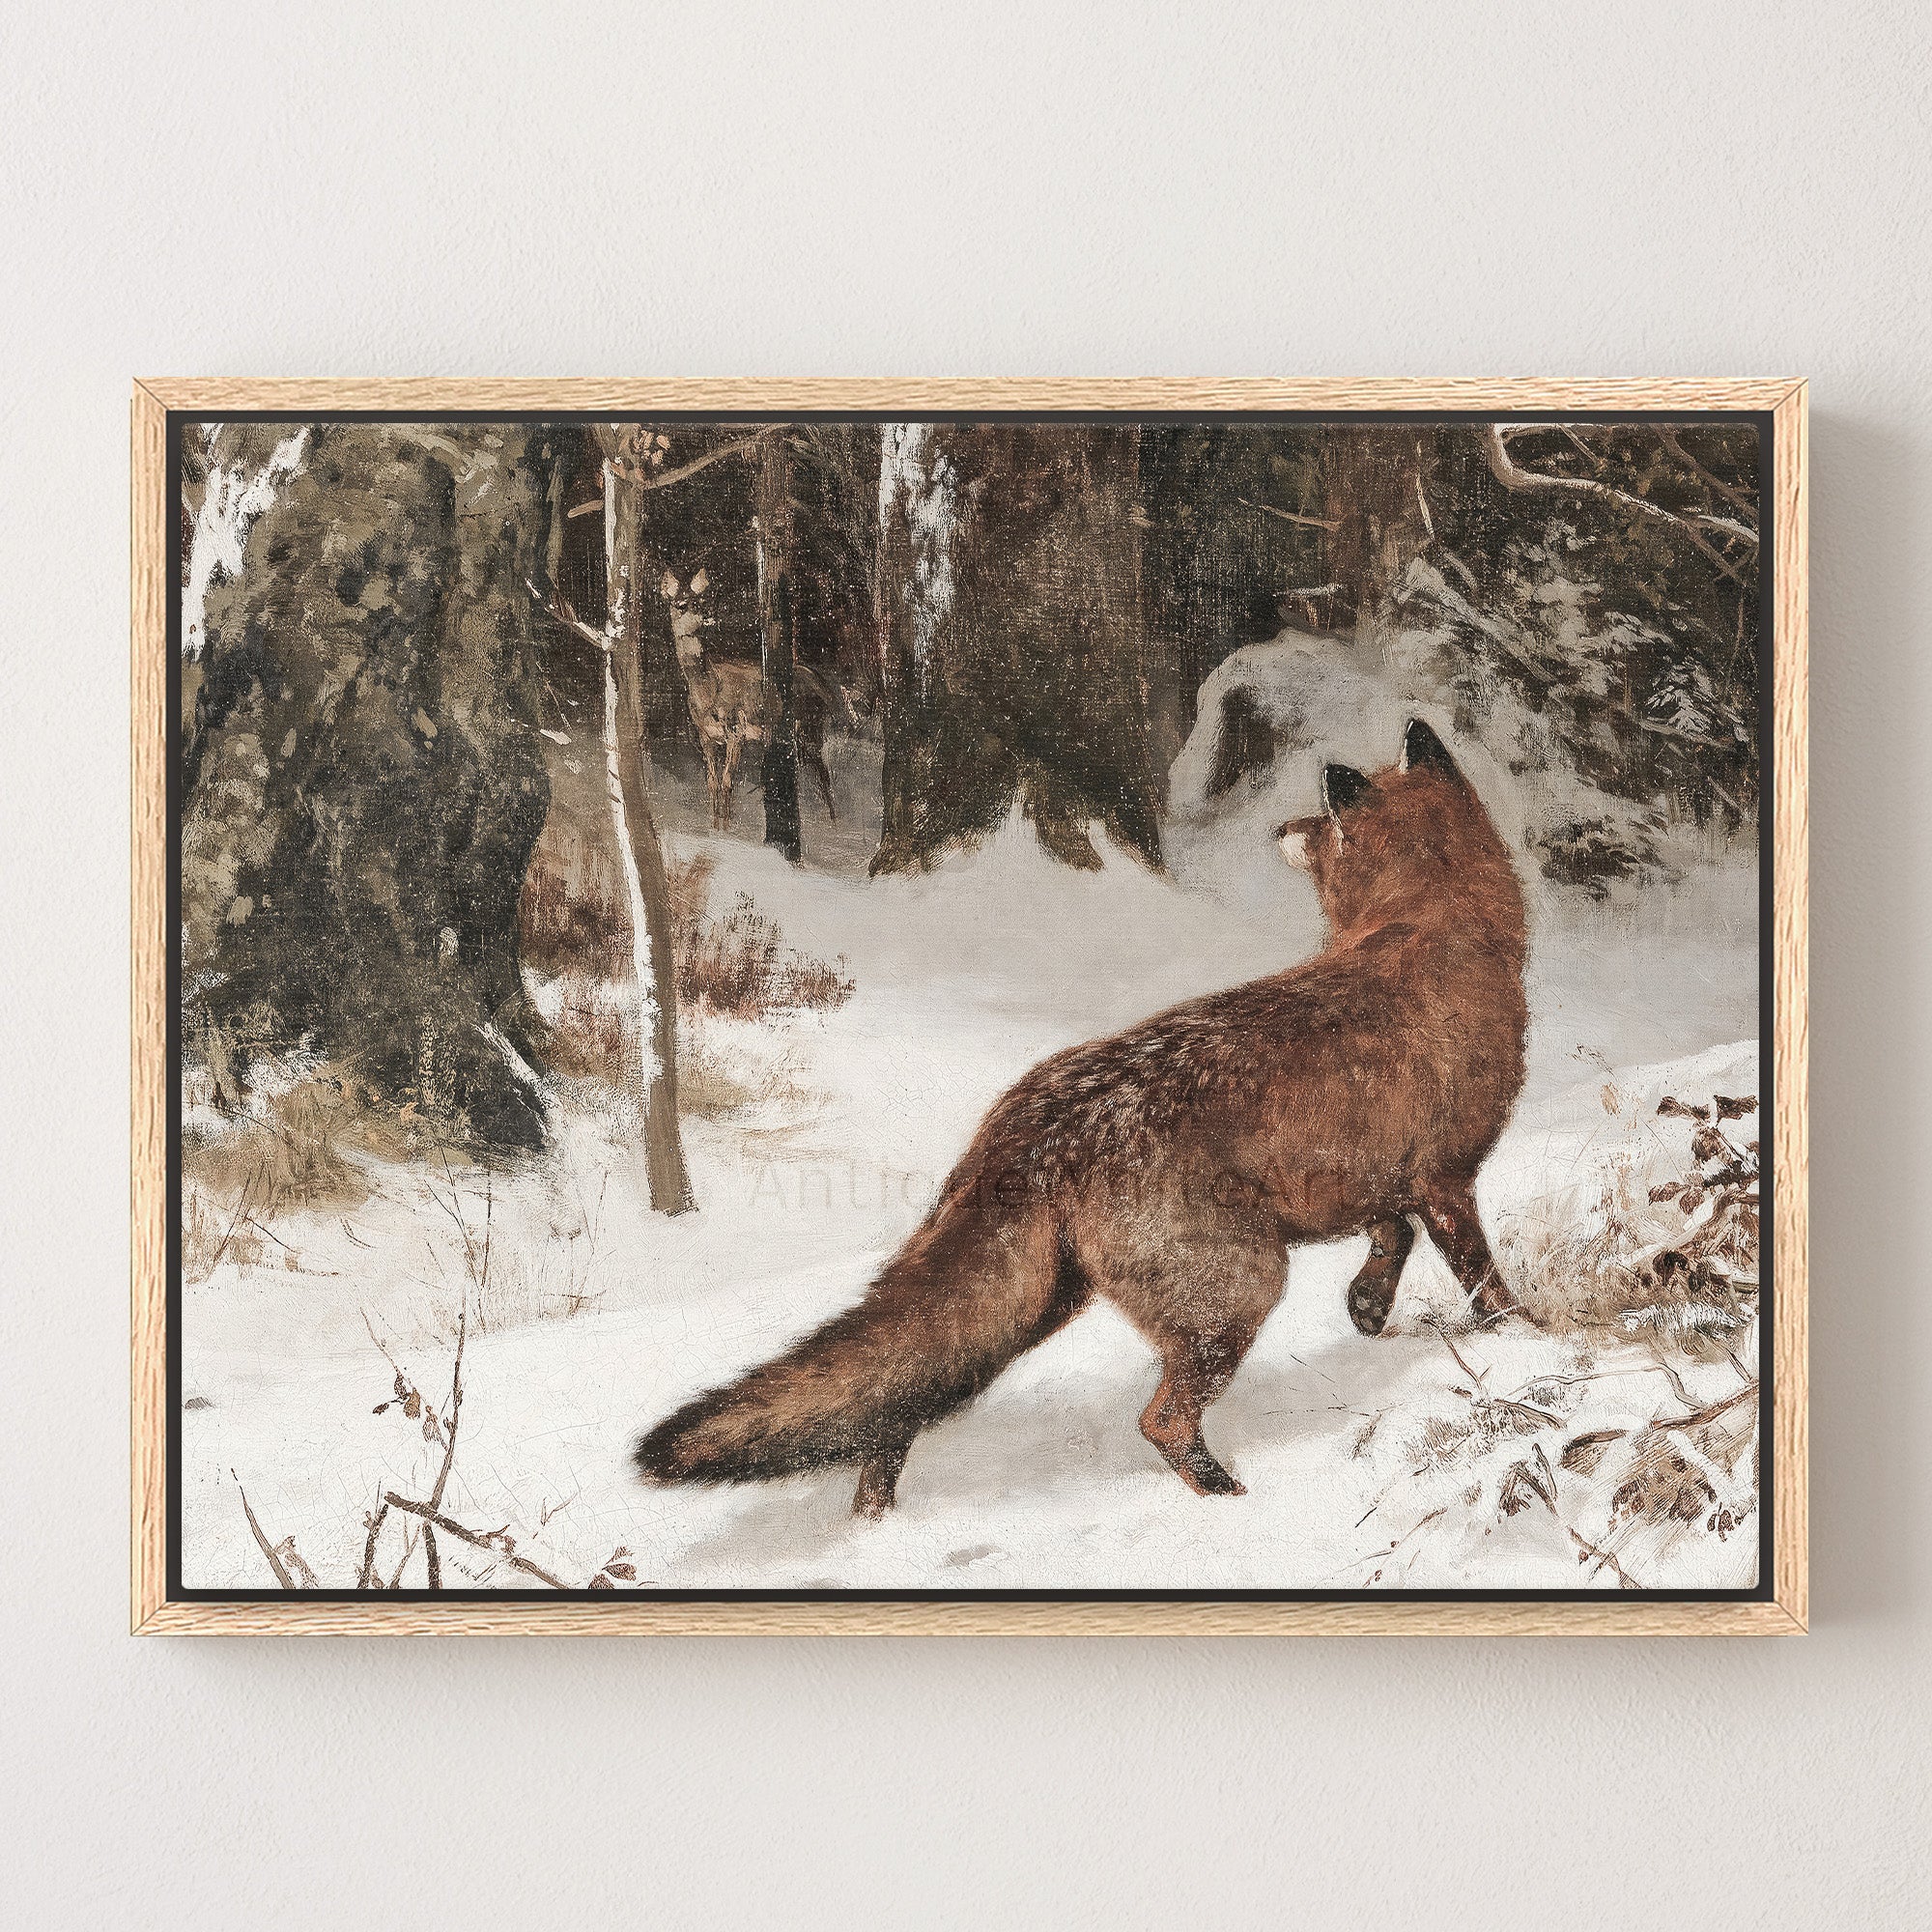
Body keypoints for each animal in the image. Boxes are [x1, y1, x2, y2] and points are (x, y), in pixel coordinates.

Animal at [635, 718, 1529, 1515]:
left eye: (1317, 823)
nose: (1280, 826)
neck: (1429, 927)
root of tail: (1031, 1119)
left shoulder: (1382, 1175)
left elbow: (1391, 1235)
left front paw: (1369, 1308)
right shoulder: (1446, 1179)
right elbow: (1480, 1279)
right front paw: (1525, 1337)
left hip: (1032, 1304)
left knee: (897, 1408)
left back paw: (873, 1523)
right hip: (1236, 1290)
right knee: (1160, 1420)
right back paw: (1225, 1497)